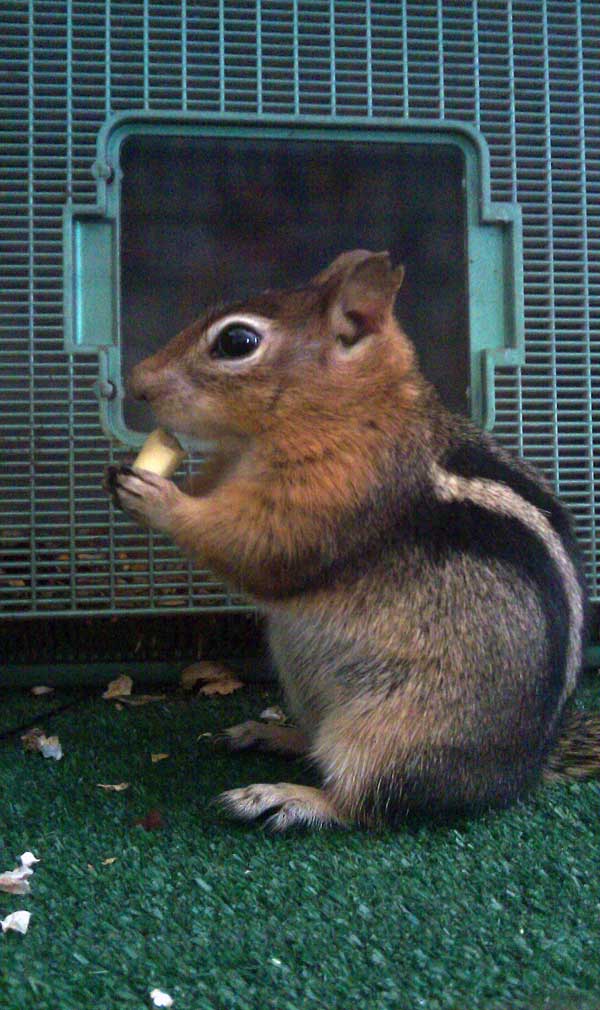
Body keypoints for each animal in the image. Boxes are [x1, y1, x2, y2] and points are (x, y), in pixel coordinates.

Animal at [106, 250, 597, 828]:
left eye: (237, 342)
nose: (137, 382)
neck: (349, 410)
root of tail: (521, 772)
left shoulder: (330, 496)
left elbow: (255, 544)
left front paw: (157, 497)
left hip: (391, 733)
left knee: (362, 803)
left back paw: (286, 797)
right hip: (308, 685)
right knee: (319, 747)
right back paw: (272, 733)